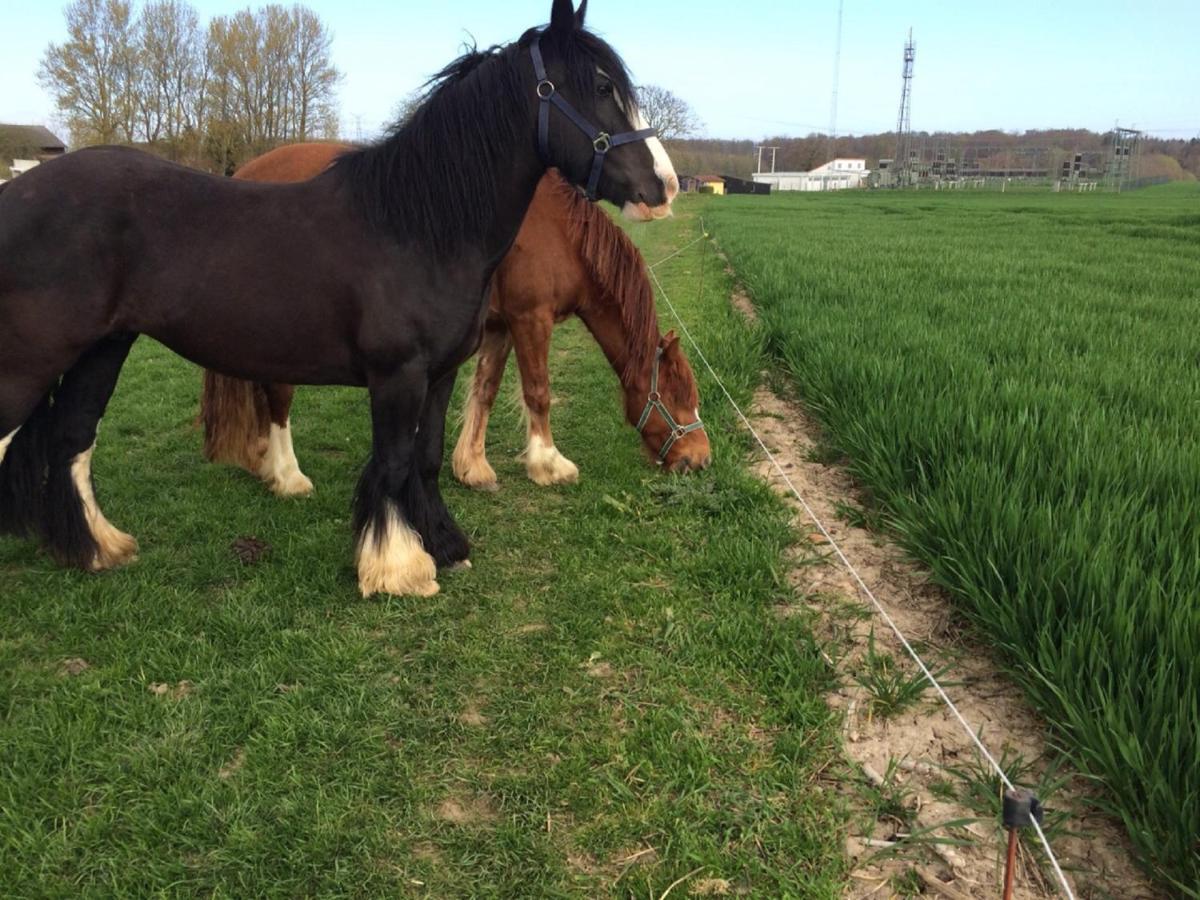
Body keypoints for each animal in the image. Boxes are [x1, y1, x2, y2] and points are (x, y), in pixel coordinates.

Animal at [201, 141, 705, 496]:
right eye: (679, 396)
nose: (700, 458)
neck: (558, 232)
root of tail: (246, 172)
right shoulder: (531, 319)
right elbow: (538, 392)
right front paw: (549, 464)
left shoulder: (499, 327)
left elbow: (485, 391)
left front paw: (473, 467)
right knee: (278, 393)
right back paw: (287, 475)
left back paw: (264, 462)